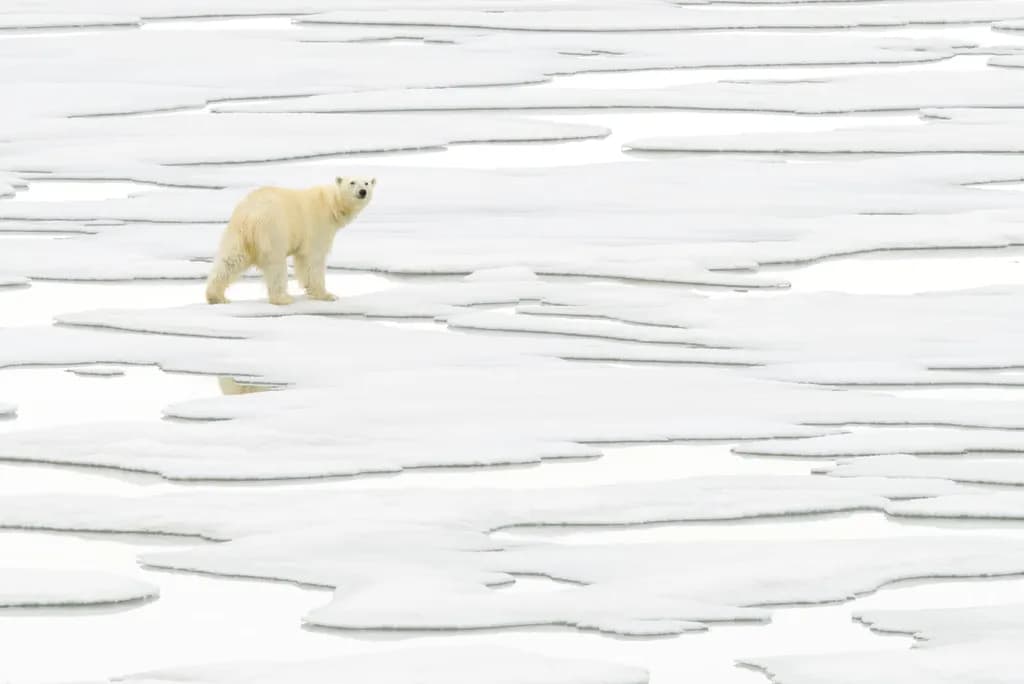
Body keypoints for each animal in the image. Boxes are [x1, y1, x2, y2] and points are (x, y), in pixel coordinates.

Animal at [205, 176, 375, 305]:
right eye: (352, 182)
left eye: (367, 182)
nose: (362, 191)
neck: (331, 204)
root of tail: (251, 216)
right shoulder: (316, 226)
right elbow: (313, 260)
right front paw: (326, 294)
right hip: (274, 230)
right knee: (276, 265)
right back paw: (283, 298)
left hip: (238, 233)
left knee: (231, 260)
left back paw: (216, 296)